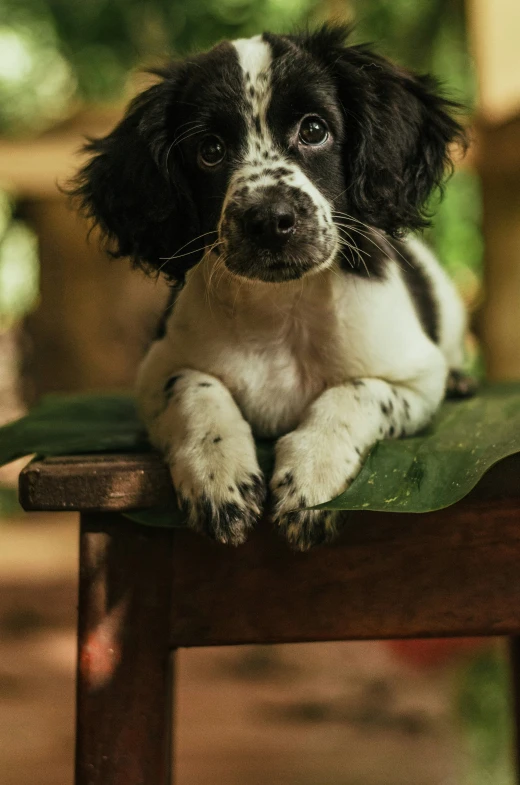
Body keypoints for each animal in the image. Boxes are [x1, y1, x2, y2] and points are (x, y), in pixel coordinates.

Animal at [72, 26, 468, 552]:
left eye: (314, 130)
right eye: (210, 150)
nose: (269, 220)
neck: (284, 309)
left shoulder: (415, 378)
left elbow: (354, 393)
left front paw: (314, 476)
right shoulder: (156, 370)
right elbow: (195, 389)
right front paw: (217, 474)